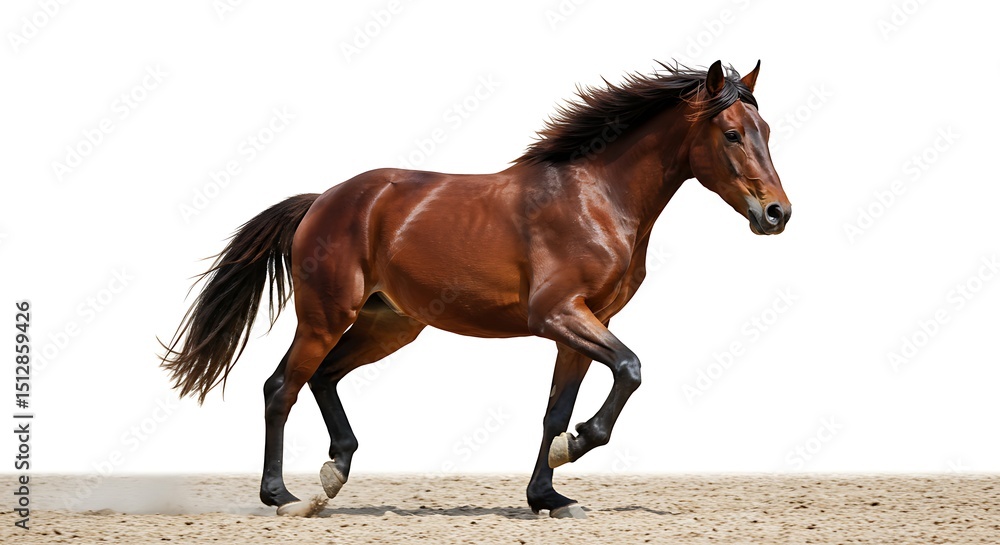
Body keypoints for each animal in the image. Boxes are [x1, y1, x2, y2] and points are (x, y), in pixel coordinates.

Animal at [160, 59, 791, 519]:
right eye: (732, 134)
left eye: (766, 131)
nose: (777, 214)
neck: (596, 198)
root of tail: (323, 201)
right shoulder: (558, 315)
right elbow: (630, 370)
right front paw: (574, 450)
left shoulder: (585, 324)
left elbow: (556, 411)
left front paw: (548, 496)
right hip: (324, 317)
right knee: (281, 387)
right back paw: (283, 497)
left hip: (389, 325)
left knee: (323, 378)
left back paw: (334, 473)